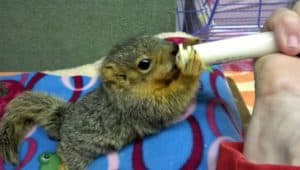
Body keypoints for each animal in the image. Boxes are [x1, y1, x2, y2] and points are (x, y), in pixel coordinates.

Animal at [0, 35, 204, 169]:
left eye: (155, 37)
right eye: (144, 64)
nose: (174, 48)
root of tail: (63, 120)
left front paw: (191, 42)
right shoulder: (139, 106)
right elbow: (169, 103)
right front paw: (190, 72)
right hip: (76, 152)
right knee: (66, 156)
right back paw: (62, 165)